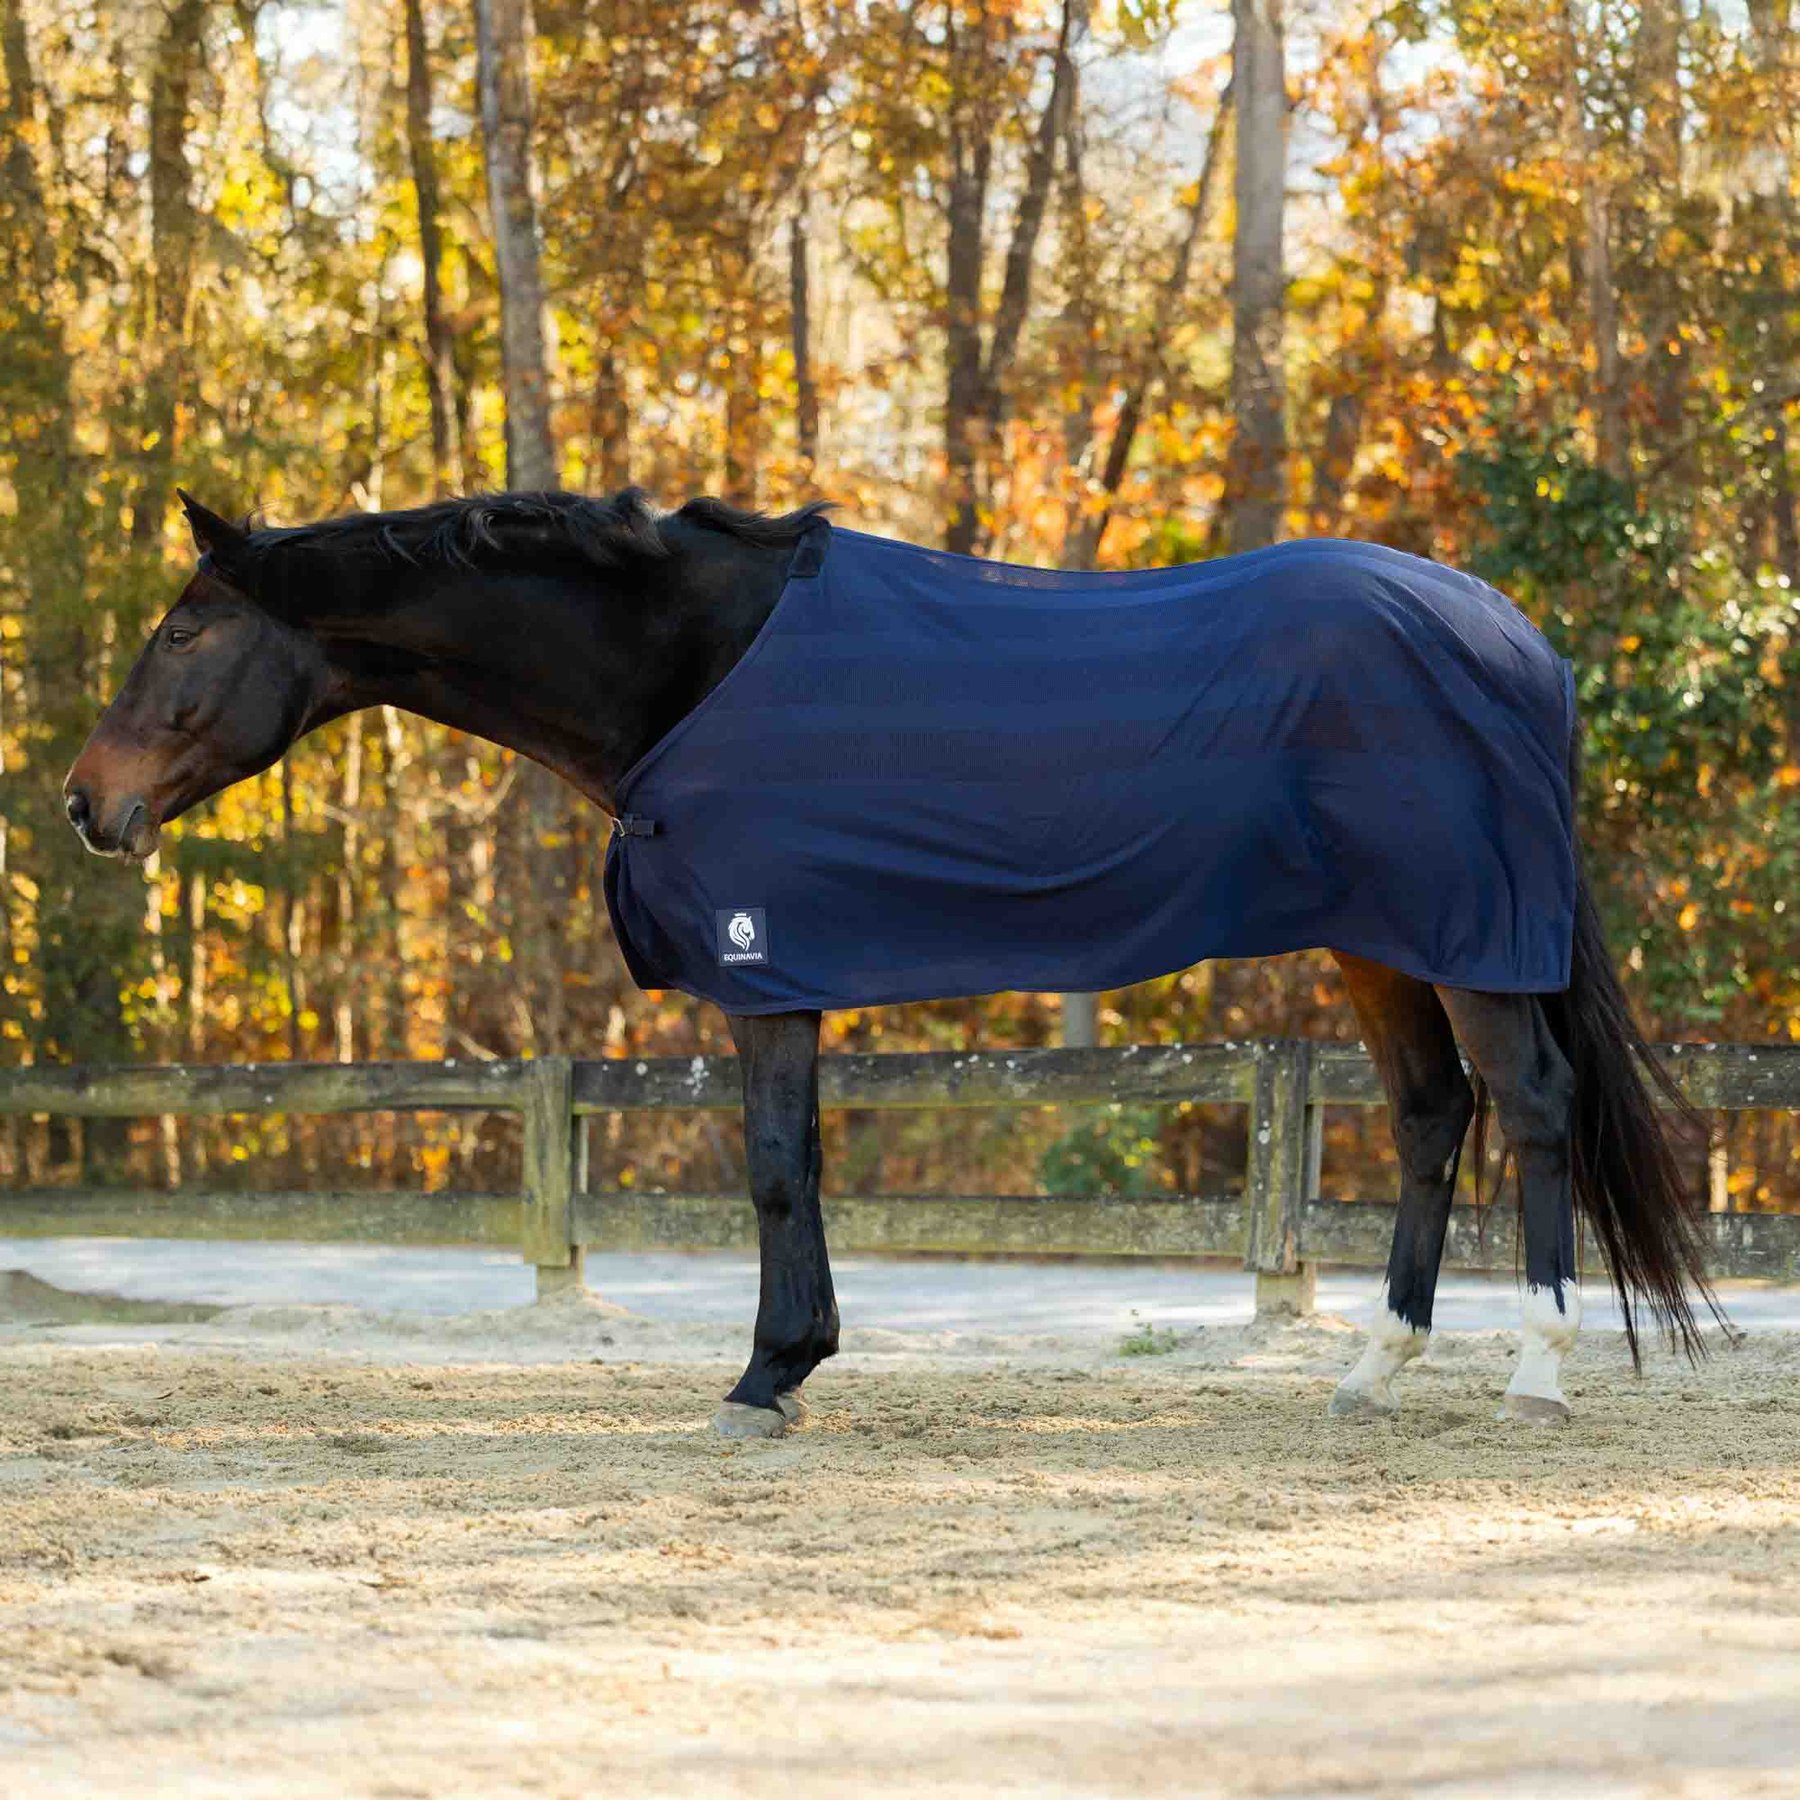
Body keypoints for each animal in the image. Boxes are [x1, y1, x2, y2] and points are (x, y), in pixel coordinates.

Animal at [64, 487, 1718, 1437]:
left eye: (182, 632)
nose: (87, 805)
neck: (692, 663)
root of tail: (1512, 636)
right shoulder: (786, 965)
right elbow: (794, 1162)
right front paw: (792, 1364)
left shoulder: (767, 958)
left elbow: (773, 1164)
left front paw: (769, 1376)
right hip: (1380, 937)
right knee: (1436, 1115)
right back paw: (1373, 1374)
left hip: (1470, 935)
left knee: (1534, 1107)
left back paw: (1536, 1373)